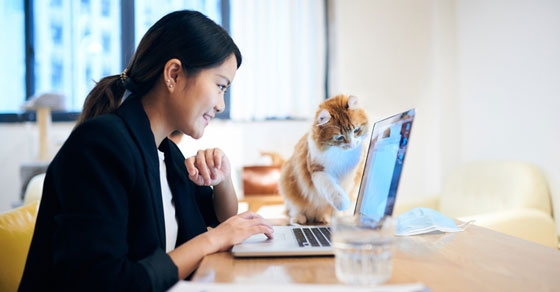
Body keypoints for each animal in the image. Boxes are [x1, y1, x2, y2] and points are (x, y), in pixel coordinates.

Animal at [278, 93, 368, 224]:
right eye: (339, 137)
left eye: (356, 130)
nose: (351, 144)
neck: (341, 155)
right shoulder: (317, 170)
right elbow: (334, 190)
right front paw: (342, 202)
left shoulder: (350, 176)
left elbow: (339, 203)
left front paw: (337, 217)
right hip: (288, 181)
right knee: (294, 208)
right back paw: (299, 218)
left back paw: (324, 218)